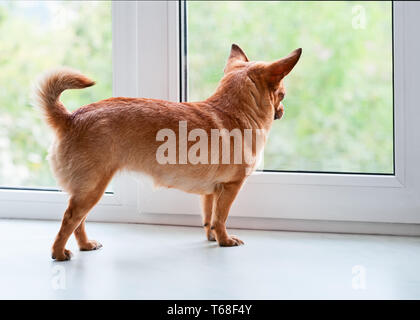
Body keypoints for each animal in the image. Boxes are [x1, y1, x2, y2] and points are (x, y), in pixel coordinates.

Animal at [33, 44, 302, 260]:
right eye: (282, 94)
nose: (283, 110)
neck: (234, 110)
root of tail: (71, 118)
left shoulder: (211, 192)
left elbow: (210, 218)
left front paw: (213, 237)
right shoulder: (230, 187)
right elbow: (221, 217)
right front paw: (225, 241)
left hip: (87, 190)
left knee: (78, 221)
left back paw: (85, 245)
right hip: (92, 189)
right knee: (69, 219)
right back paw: (58, 253)